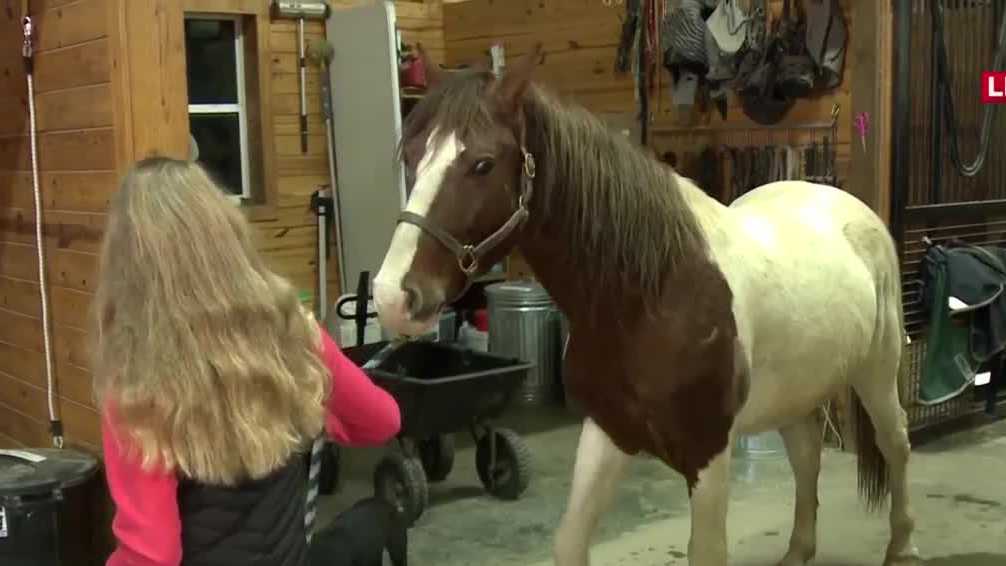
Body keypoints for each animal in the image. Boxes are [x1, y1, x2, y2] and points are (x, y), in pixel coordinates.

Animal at [372, 44, 920, 566]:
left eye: (482, 164)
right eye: (413, 157)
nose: (392, 296)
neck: (650, 298)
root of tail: (846, 206)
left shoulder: (708, 455)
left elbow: (706, 552)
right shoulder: (607, 432)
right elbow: (569, 543)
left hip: (876, 370)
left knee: (895, 442)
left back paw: (901, 546)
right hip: (796, 390)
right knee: (807, 455)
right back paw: (797, 552)